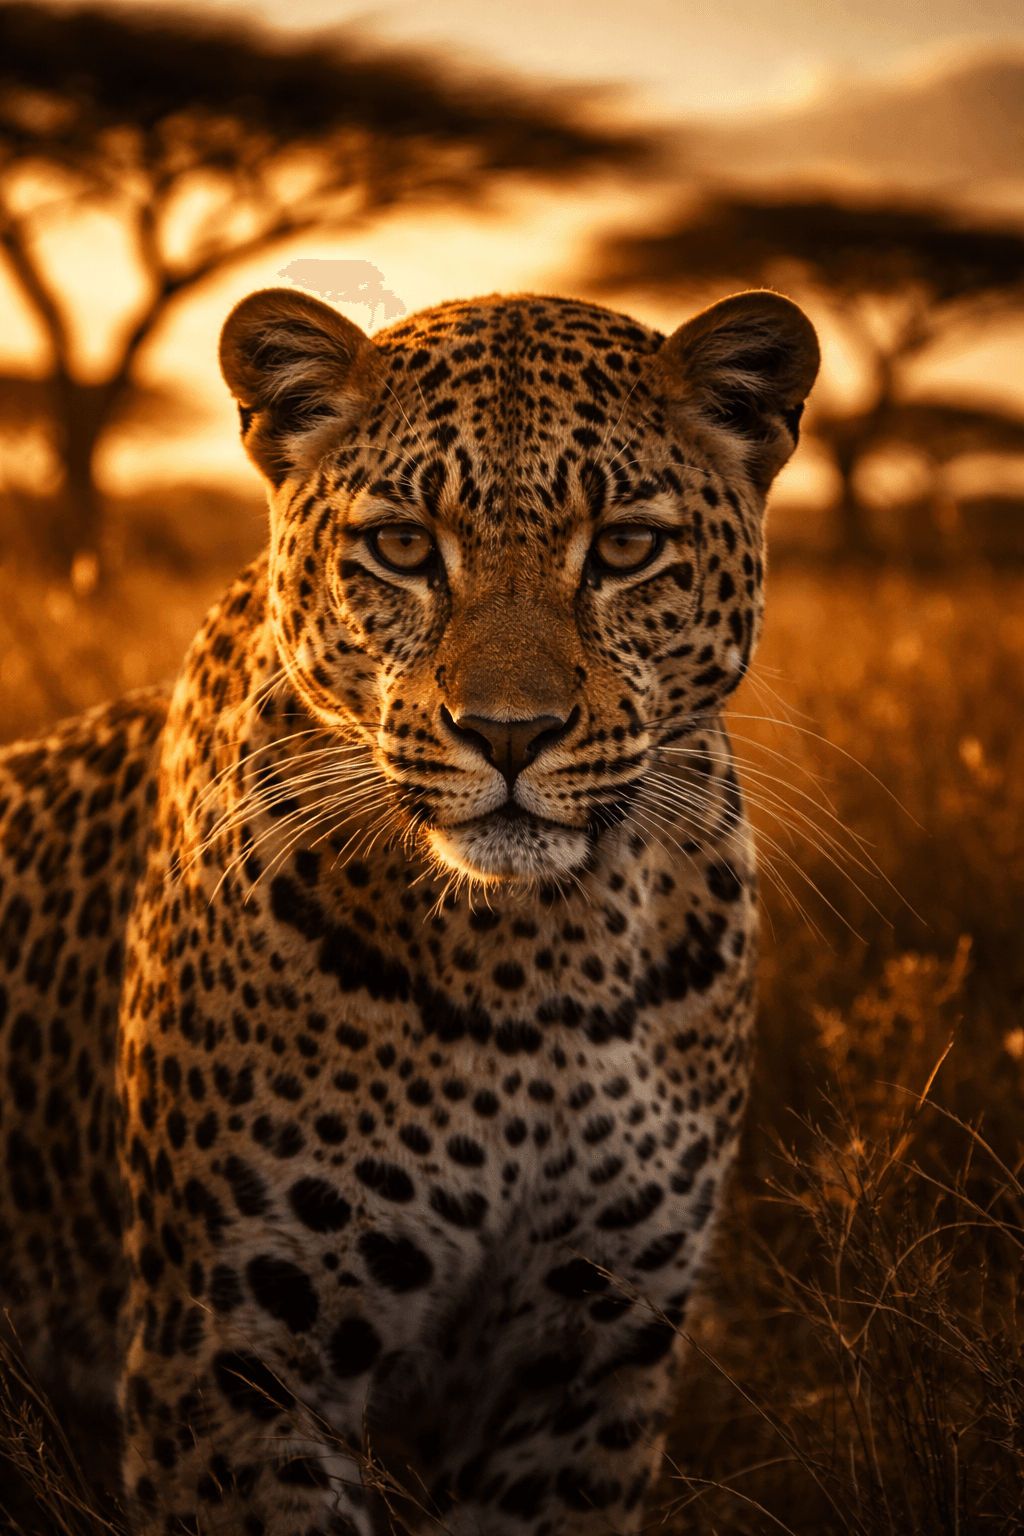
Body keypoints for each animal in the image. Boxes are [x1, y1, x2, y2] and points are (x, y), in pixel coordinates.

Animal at [0, 283, 819, 1536]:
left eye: (625, 548)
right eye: (400, 546)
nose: (510, 734)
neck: (540, 956)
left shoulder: (592, 1365)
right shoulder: (233, 1357)